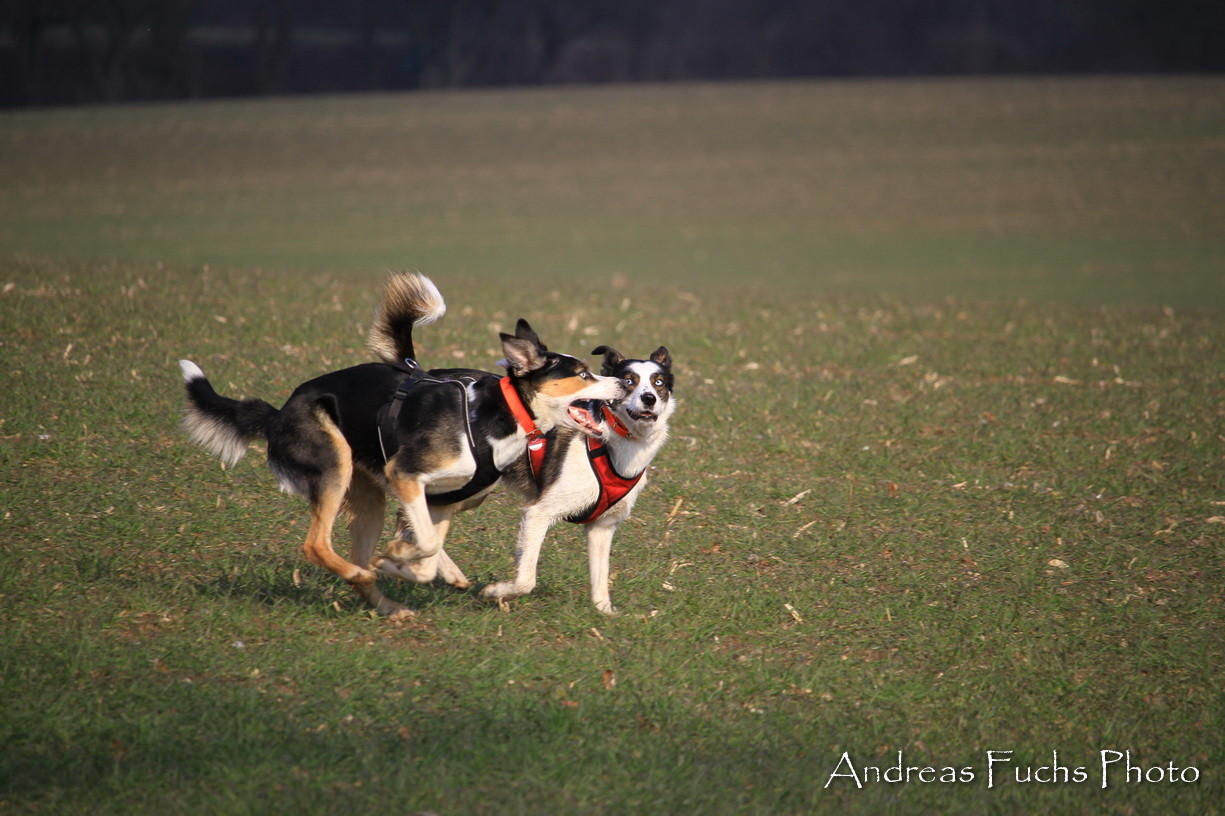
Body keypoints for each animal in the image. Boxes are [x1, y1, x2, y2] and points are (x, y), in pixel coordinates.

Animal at [178, 272, 623, 619]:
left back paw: (391, 603)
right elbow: (425, 543)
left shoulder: (441, 496)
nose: (622, 382)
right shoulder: (406, 475)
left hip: (378, 496)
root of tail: (278, 415)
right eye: (583, 374)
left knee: (365, 548)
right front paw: (395, 559)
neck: (497, 414)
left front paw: (402, 562)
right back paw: (365, 571)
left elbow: (426, 548)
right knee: (317, 545)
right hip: (334, 465)